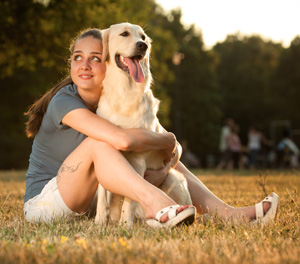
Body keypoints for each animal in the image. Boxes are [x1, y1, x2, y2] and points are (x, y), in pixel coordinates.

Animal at [96, 22, 195, 228]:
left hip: (172, 177)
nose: (143, 46)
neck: (123, 95)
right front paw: (99, 222)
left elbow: (130, 198)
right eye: (124, 34)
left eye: (143, 37)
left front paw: (126, 225)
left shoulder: (138, 160)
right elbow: (102, 195)